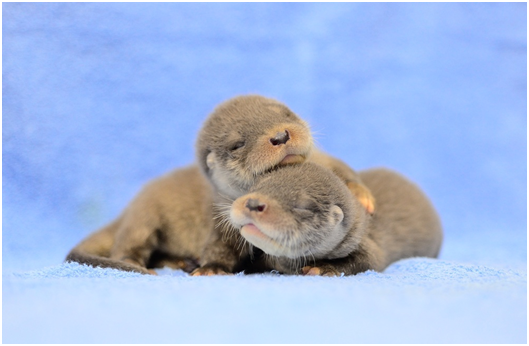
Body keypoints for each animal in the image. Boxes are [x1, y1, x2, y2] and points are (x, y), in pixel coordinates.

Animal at [230, 162, 442, 276]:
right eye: (259, 185)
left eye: (302, 206)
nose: (254, 203)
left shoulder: (368, 245)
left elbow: (370, 260)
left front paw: (323, 268)